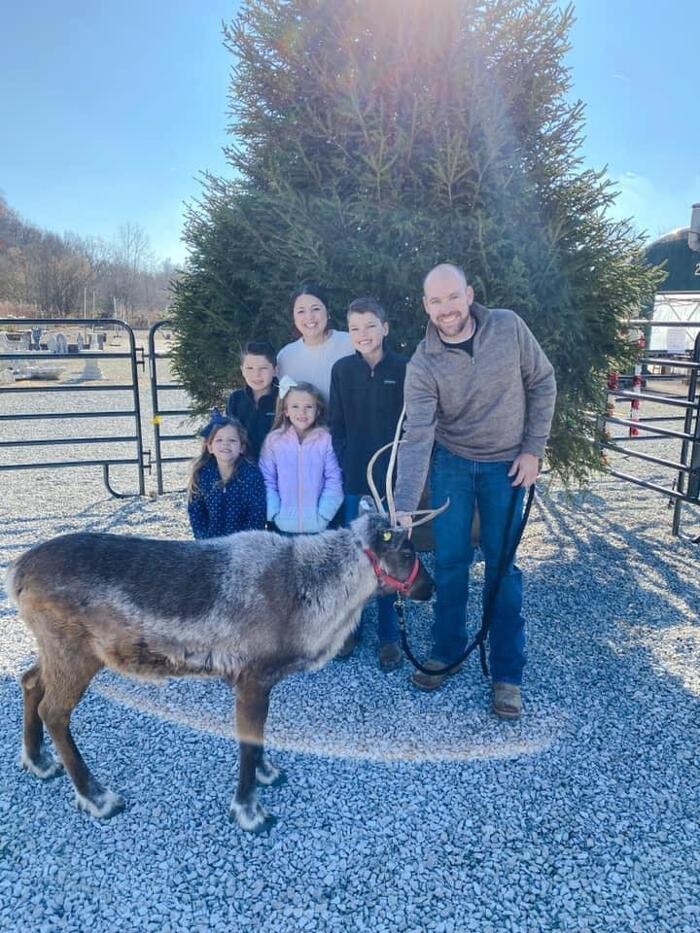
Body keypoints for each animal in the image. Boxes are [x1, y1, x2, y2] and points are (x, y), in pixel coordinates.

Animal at [6, 436, 446, 833]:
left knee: (30, 681)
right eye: (407, 551)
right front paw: (250, 811)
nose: (431, 588)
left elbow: (260, 739)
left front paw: (268, 772)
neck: (313, 589)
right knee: (54, 711)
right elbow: (248, 743)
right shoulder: (251, 677)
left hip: (53, 649)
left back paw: (38, 761)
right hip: (75, 653)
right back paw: (98, 797)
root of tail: (16, 573)